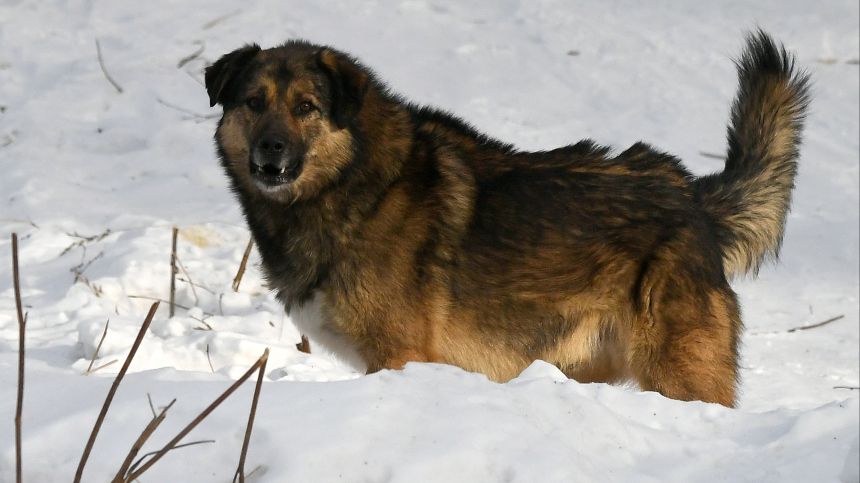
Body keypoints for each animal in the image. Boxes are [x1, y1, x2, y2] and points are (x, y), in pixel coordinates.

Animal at [205, 31, 808, 408]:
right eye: (254, 102)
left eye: (305, 107)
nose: (269, 152)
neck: (357, 185)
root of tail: (691, 197)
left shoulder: (400, 357)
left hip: (679, 376)